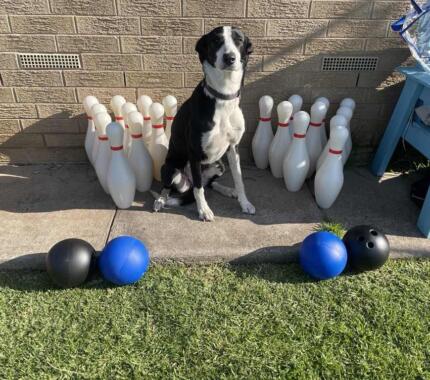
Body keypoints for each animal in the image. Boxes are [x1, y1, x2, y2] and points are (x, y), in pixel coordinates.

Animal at [154, 26, 255, 221]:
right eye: (216, 41)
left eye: (239, 40)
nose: (229, 58)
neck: (222, 96)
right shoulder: (194, 153)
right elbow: (198, 188)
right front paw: (204, 210)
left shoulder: (234, 148)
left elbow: (239, 179)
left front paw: (244, 202)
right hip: (170, 168)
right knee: (169, 187)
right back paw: (161, 200)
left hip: (219, 164)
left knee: (210, 183)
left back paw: (227, 190)